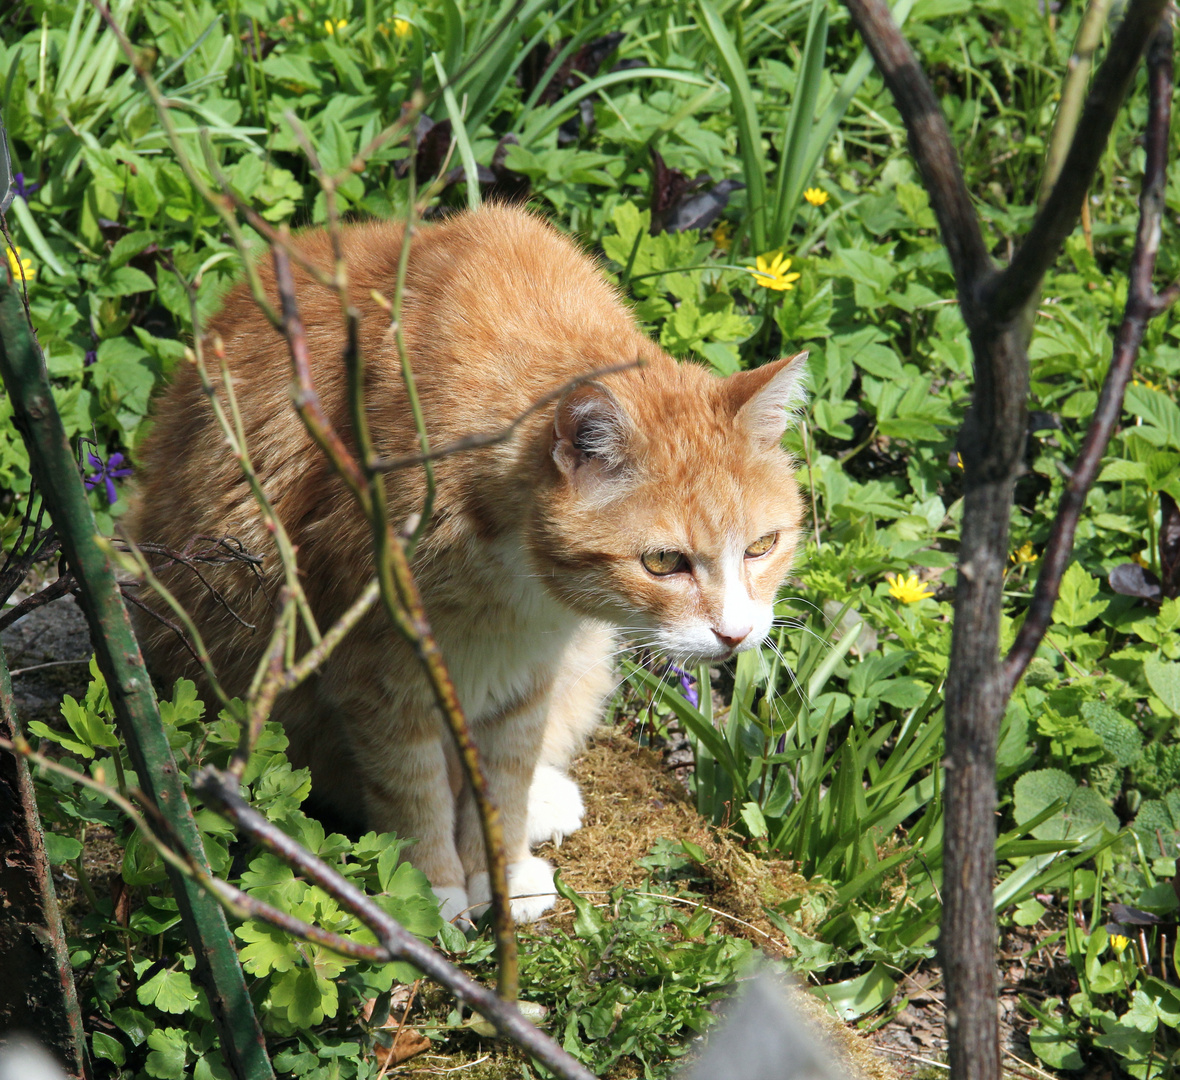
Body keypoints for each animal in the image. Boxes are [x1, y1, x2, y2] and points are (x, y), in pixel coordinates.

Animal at [131, 206, 811, 925]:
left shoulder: (529, 672)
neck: (517, 584)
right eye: (662, 562)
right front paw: (428, 894)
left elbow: (504, 777)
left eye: (762, 546)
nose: (736, 635)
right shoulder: (378, 671)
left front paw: (502, 870)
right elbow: (411, 784)